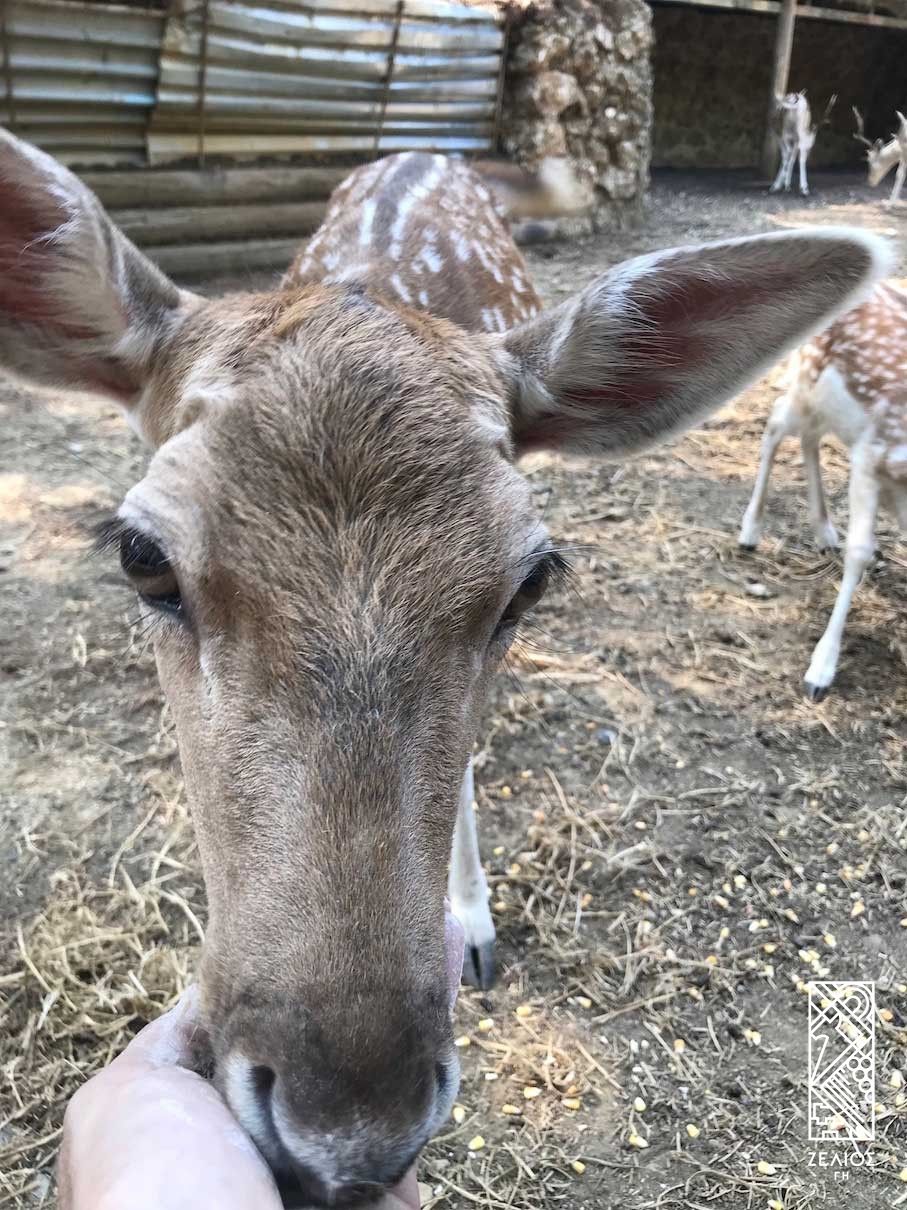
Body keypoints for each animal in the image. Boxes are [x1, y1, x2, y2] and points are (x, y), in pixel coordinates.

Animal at [740, 281, 904, 701]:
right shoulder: (869, 456)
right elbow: (859, 552)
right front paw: (820, 671)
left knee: (808, 436)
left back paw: (825, 533)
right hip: (805, 383)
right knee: (776, 422)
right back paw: (750, 532)